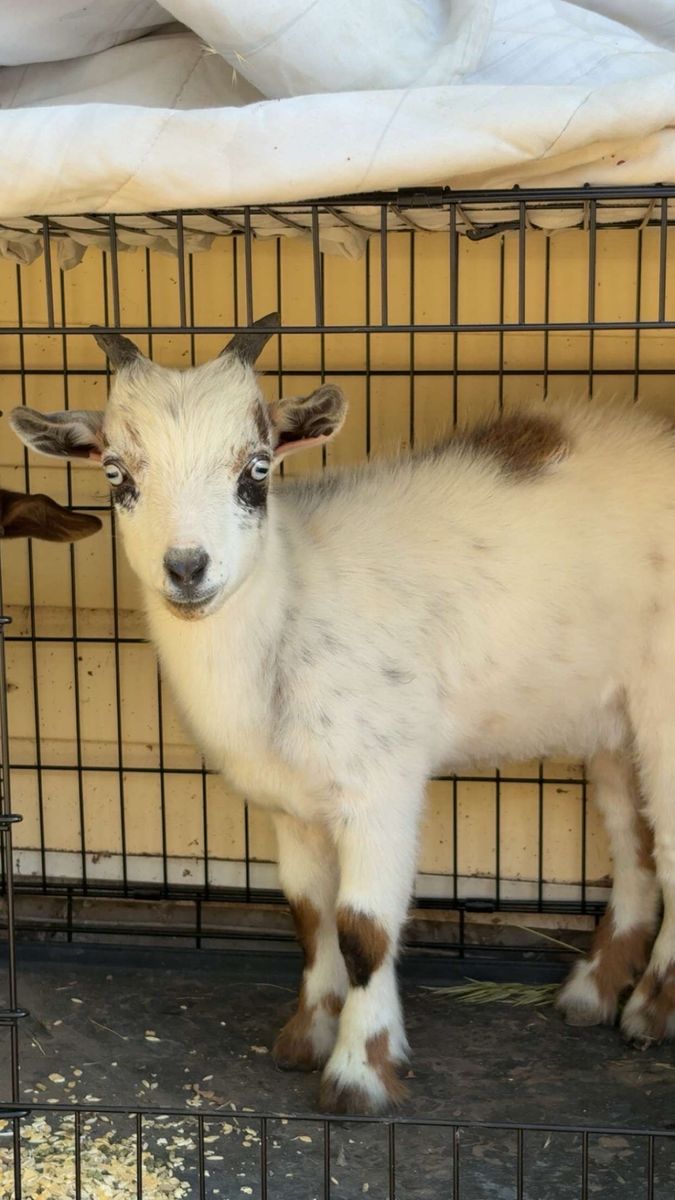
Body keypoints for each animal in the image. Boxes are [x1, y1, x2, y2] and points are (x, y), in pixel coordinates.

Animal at [9, 315, 675, 1114]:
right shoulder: (290, 804)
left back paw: (650, 1012)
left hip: (664, 705)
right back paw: (593, 993)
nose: (187, 568)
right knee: (636, 848)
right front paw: (306, 1037)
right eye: (116, 474)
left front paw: (361, 1073)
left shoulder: (380, 786)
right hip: (612, 723)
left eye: (257, 470)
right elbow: (308, 915)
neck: (294, 599)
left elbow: (364, 930)